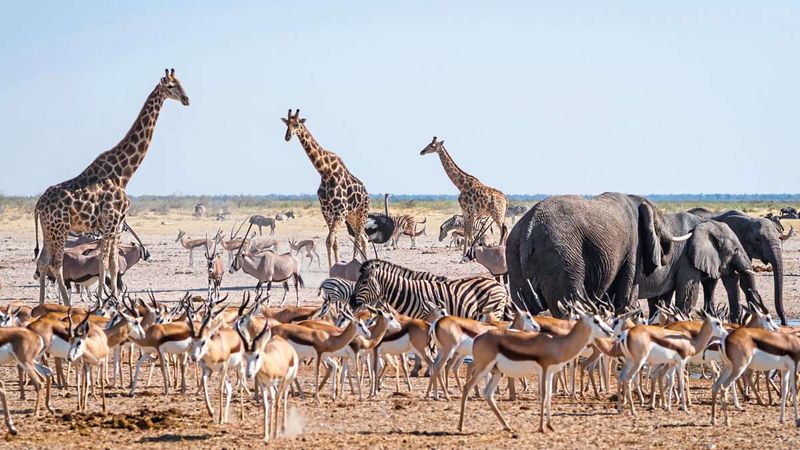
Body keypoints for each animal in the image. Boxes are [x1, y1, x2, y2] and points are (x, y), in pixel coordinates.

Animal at [33, 67, 190, 306]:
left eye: (181, 83)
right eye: (171, 86)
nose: (186, 99)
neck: (123, 174)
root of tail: (38, 205)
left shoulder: (117, 224)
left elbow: (114, 263)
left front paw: (115, 300)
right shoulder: (111, 221)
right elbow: (103, 262)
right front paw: (102, 301)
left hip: (48, 228)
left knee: (43, 262)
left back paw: (41, 305)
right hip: (59, 229)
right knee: (56, 264)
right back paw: (66, 305)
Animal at [282, 109, 368, 270]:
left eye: (296, 124)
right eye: (286, 124)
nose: (287, 136)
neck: (326, 173)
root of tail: (367, 194)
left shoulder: (340, 211)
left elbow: (330, 240)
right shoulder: (327, 211)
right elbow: (333, 242)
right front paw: (333, 267)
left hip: (361, 213)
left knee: (359, 238)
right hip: (351, 216)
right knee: (364, 238)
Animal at [456, 304, 612, 434]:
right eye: (596, 320)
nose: (610, 331)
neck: (557, 345)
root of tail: (478, 338)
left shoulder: (550, 373)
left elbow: (549, 396)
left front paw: (550, 426)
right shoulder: (543, 371)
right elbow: (543, 396)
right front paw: (541, 427)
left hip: (497, 372)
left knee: (488, 394)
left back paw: (507, 426)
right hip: (483, 368)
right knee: (467, 387)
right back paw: (460, 427)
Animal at [510, 192, 692, 314]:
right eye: (658, 226)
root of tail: (529, 229)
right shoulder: (633, 246)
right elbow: (625, 295)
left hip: (513, 254)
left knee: (522, 309)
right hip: (561, 257)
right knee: (569, 306)